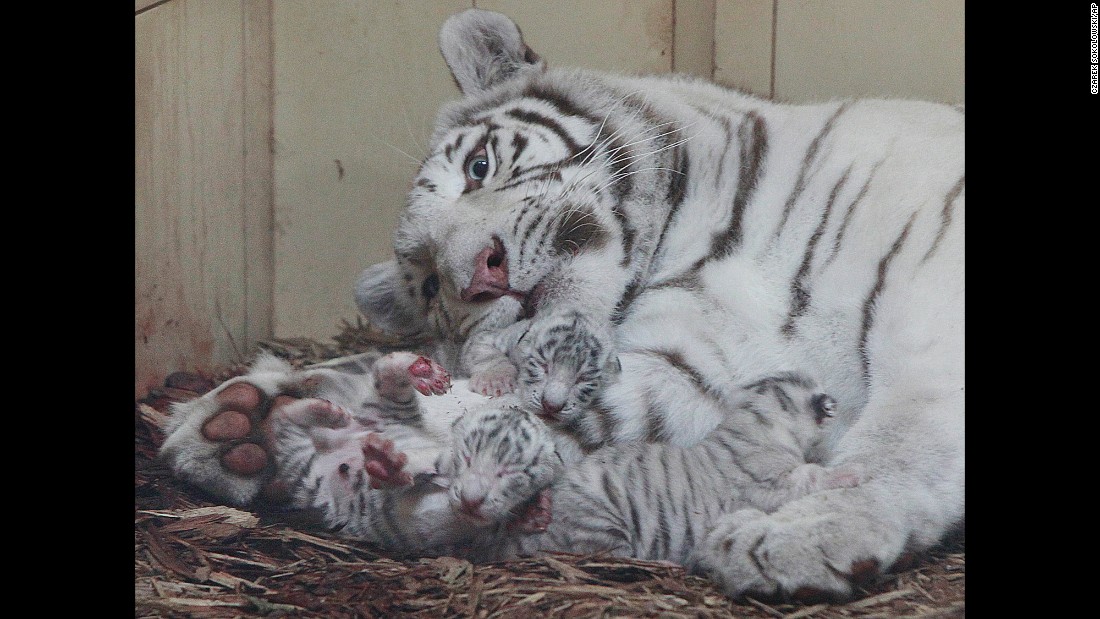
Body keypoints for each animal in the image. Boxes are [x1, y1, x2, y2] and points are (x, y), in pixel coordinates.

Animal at [159, 7, 964, 601]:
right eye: (429, 282)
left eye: (479, 166)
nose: (479, 274)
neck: (692, 243)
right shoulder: (691, 372)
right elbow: (509, 407)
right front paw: (245, 424)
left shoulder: (928, 316)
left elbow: (897, 443)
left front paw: (801, 532)